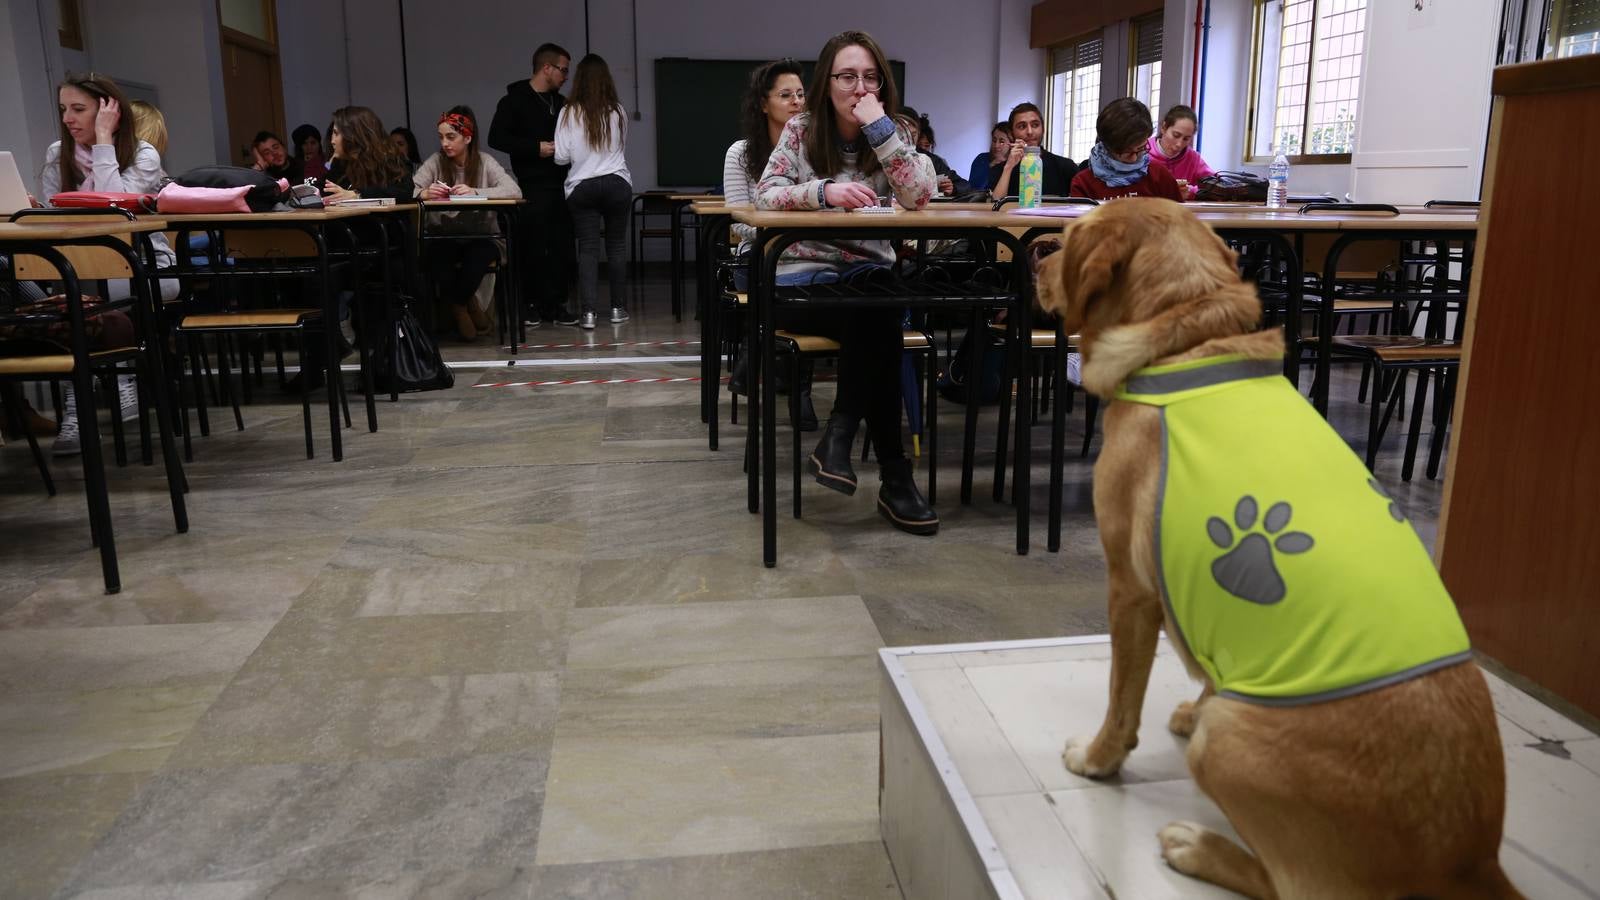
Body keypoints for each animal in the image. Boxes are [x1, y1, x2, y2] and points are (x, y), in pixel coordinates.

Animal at [1030, 199, 1516, 896]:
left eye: (1068, 238)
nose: (1033, 253)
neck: (1186, 340)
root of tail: (1470, 860)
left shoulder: (1130, 590)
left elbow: (1121, 701)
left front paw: (1097, 760)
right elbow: (1216, 660)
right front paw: (1198, 700)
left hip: (1230, 742)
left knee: (1289, 884)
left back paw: (1198, 846)